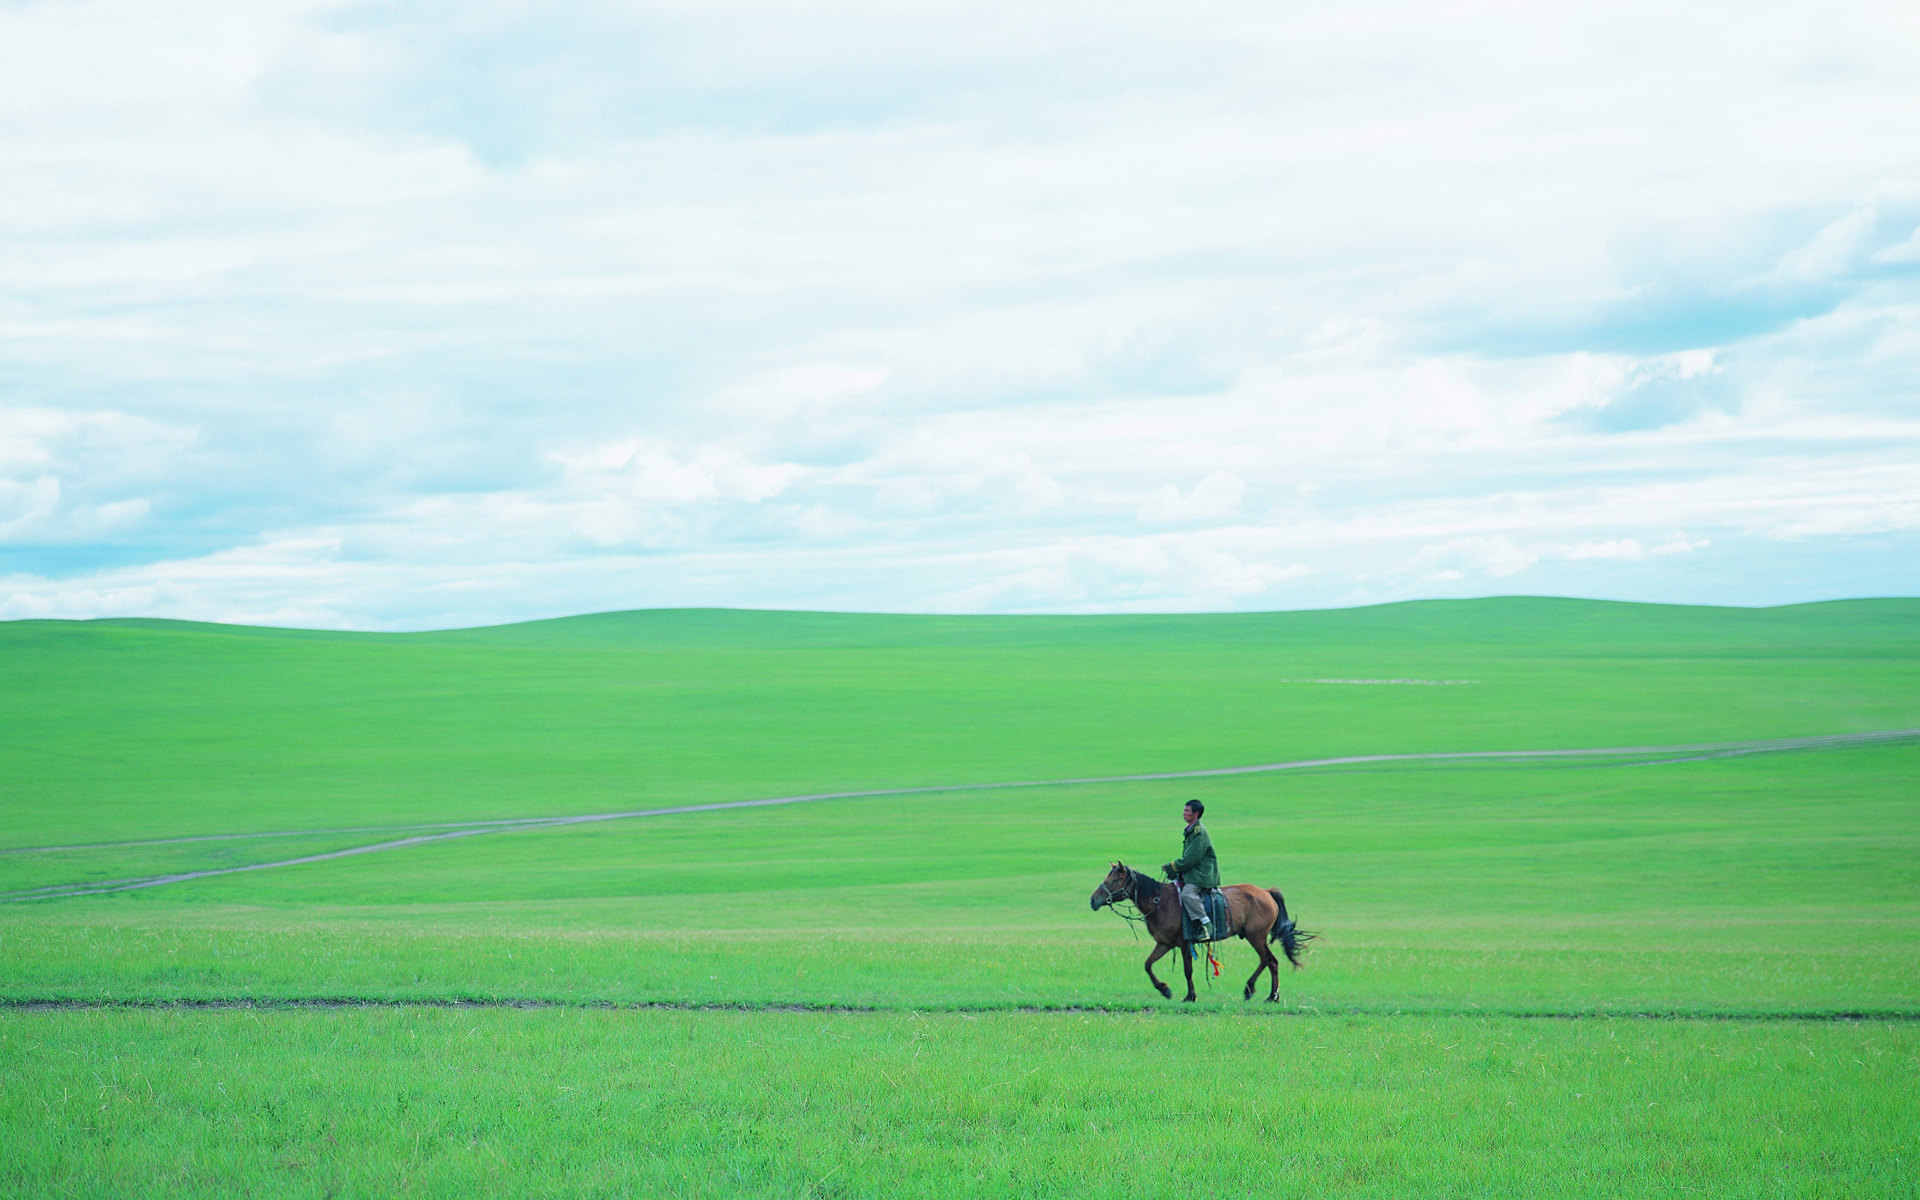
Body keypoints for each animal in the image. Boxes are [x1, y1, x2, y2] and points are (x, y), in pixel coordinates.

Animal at [1090, 860, 1313, 998]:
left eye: (1115, 879)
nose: (1093, 900)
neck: (1161, 902)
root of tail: (1266, 892)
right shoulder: (1164, 943)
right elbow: (1148, 965)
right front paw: (1165, 990)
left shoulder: (1183, 943)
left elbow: (1187, 970)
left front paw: (1190, 996)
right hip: (1253, 936)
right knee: (1265, 960)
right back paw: (1250, 989)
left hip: (1256, 936)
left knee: (1271, 961)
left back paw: (1272, 996)